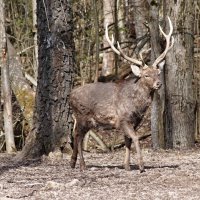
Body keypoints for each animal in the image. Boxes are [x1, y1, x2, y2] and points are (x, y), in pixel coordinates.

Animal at [70, 16, 173, 172]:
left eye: (157, 73)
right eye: (146, 75)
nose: (158, 84)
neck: (137, 106)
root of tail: (70, 95)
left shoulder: (135, 121)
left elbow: (127, 141)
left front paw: (127, 166)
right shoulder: (123, 119)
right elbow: (135, 138)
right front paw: (141, 166)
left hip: (86, 121)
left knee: (77, 135)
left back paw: (73, 162)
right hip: (82, 115)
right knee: (78, 136)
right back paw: (82, 165)